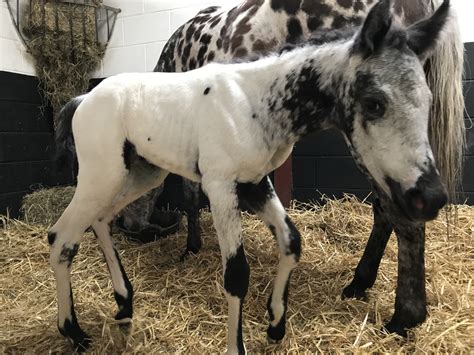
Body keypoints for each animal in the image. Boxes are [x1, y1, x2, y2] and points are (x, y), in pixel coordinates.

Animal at [50, 0, 450, 354]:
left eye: (429, 99)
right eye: (374, 102)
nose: (431, 197)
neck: (254, 102)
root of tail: (82, 99)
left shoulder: (255, 184)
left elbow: (292, 242)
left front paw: (275, 324)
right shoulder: (221, 187)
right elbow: (237, 274)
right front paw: (237, 345)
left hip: (142, 174)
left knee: (100, 220)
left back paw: (123, 303)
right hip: (102, 175)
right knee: (61, 236)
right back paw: (74, 332)